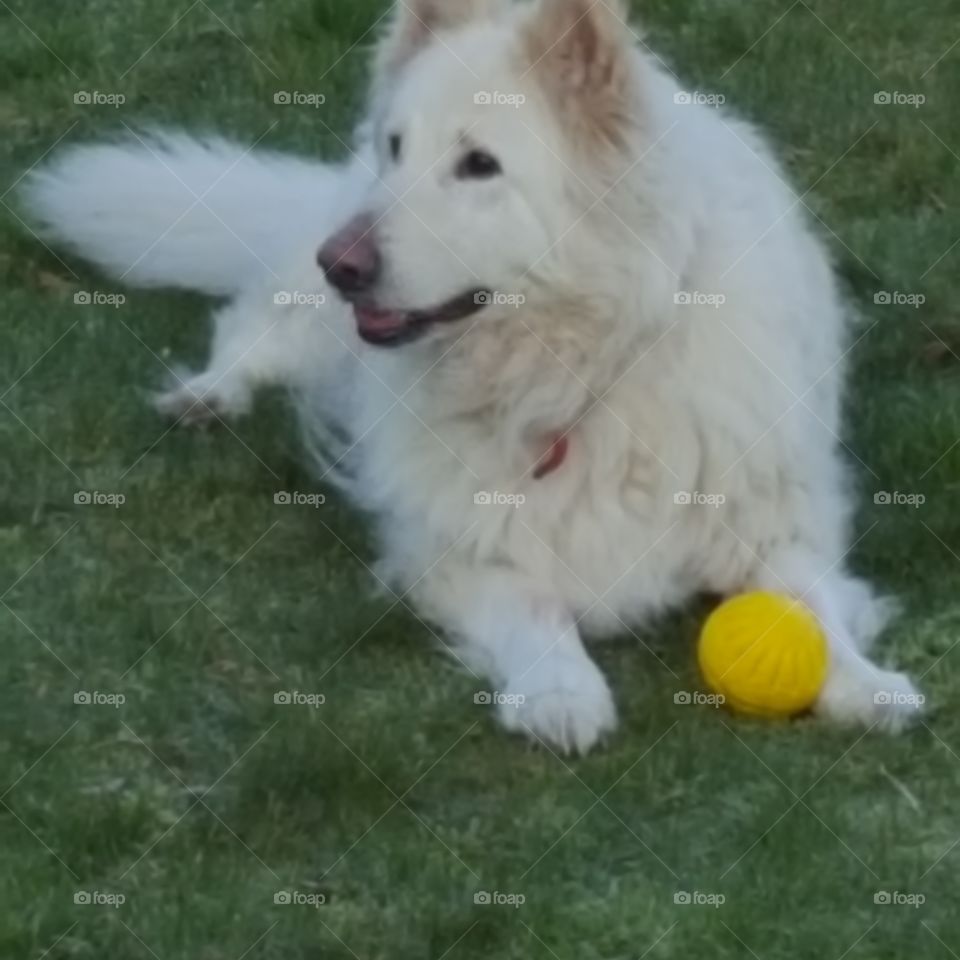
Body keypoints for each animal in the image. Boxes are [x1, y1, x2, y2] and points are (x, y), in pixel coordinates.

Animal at [24, 0, 924, 752]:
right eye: (399, 148)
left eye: (479, 165)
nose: (339, 265)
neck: (579, 372)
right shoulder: (452, 551)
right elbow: (535, 608)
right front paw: (561, 693)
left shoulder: (777, 522)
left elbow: (811, 608)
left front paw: (867, 685)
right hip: (313, 310)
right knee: (255, 327)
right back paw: (208, 394)